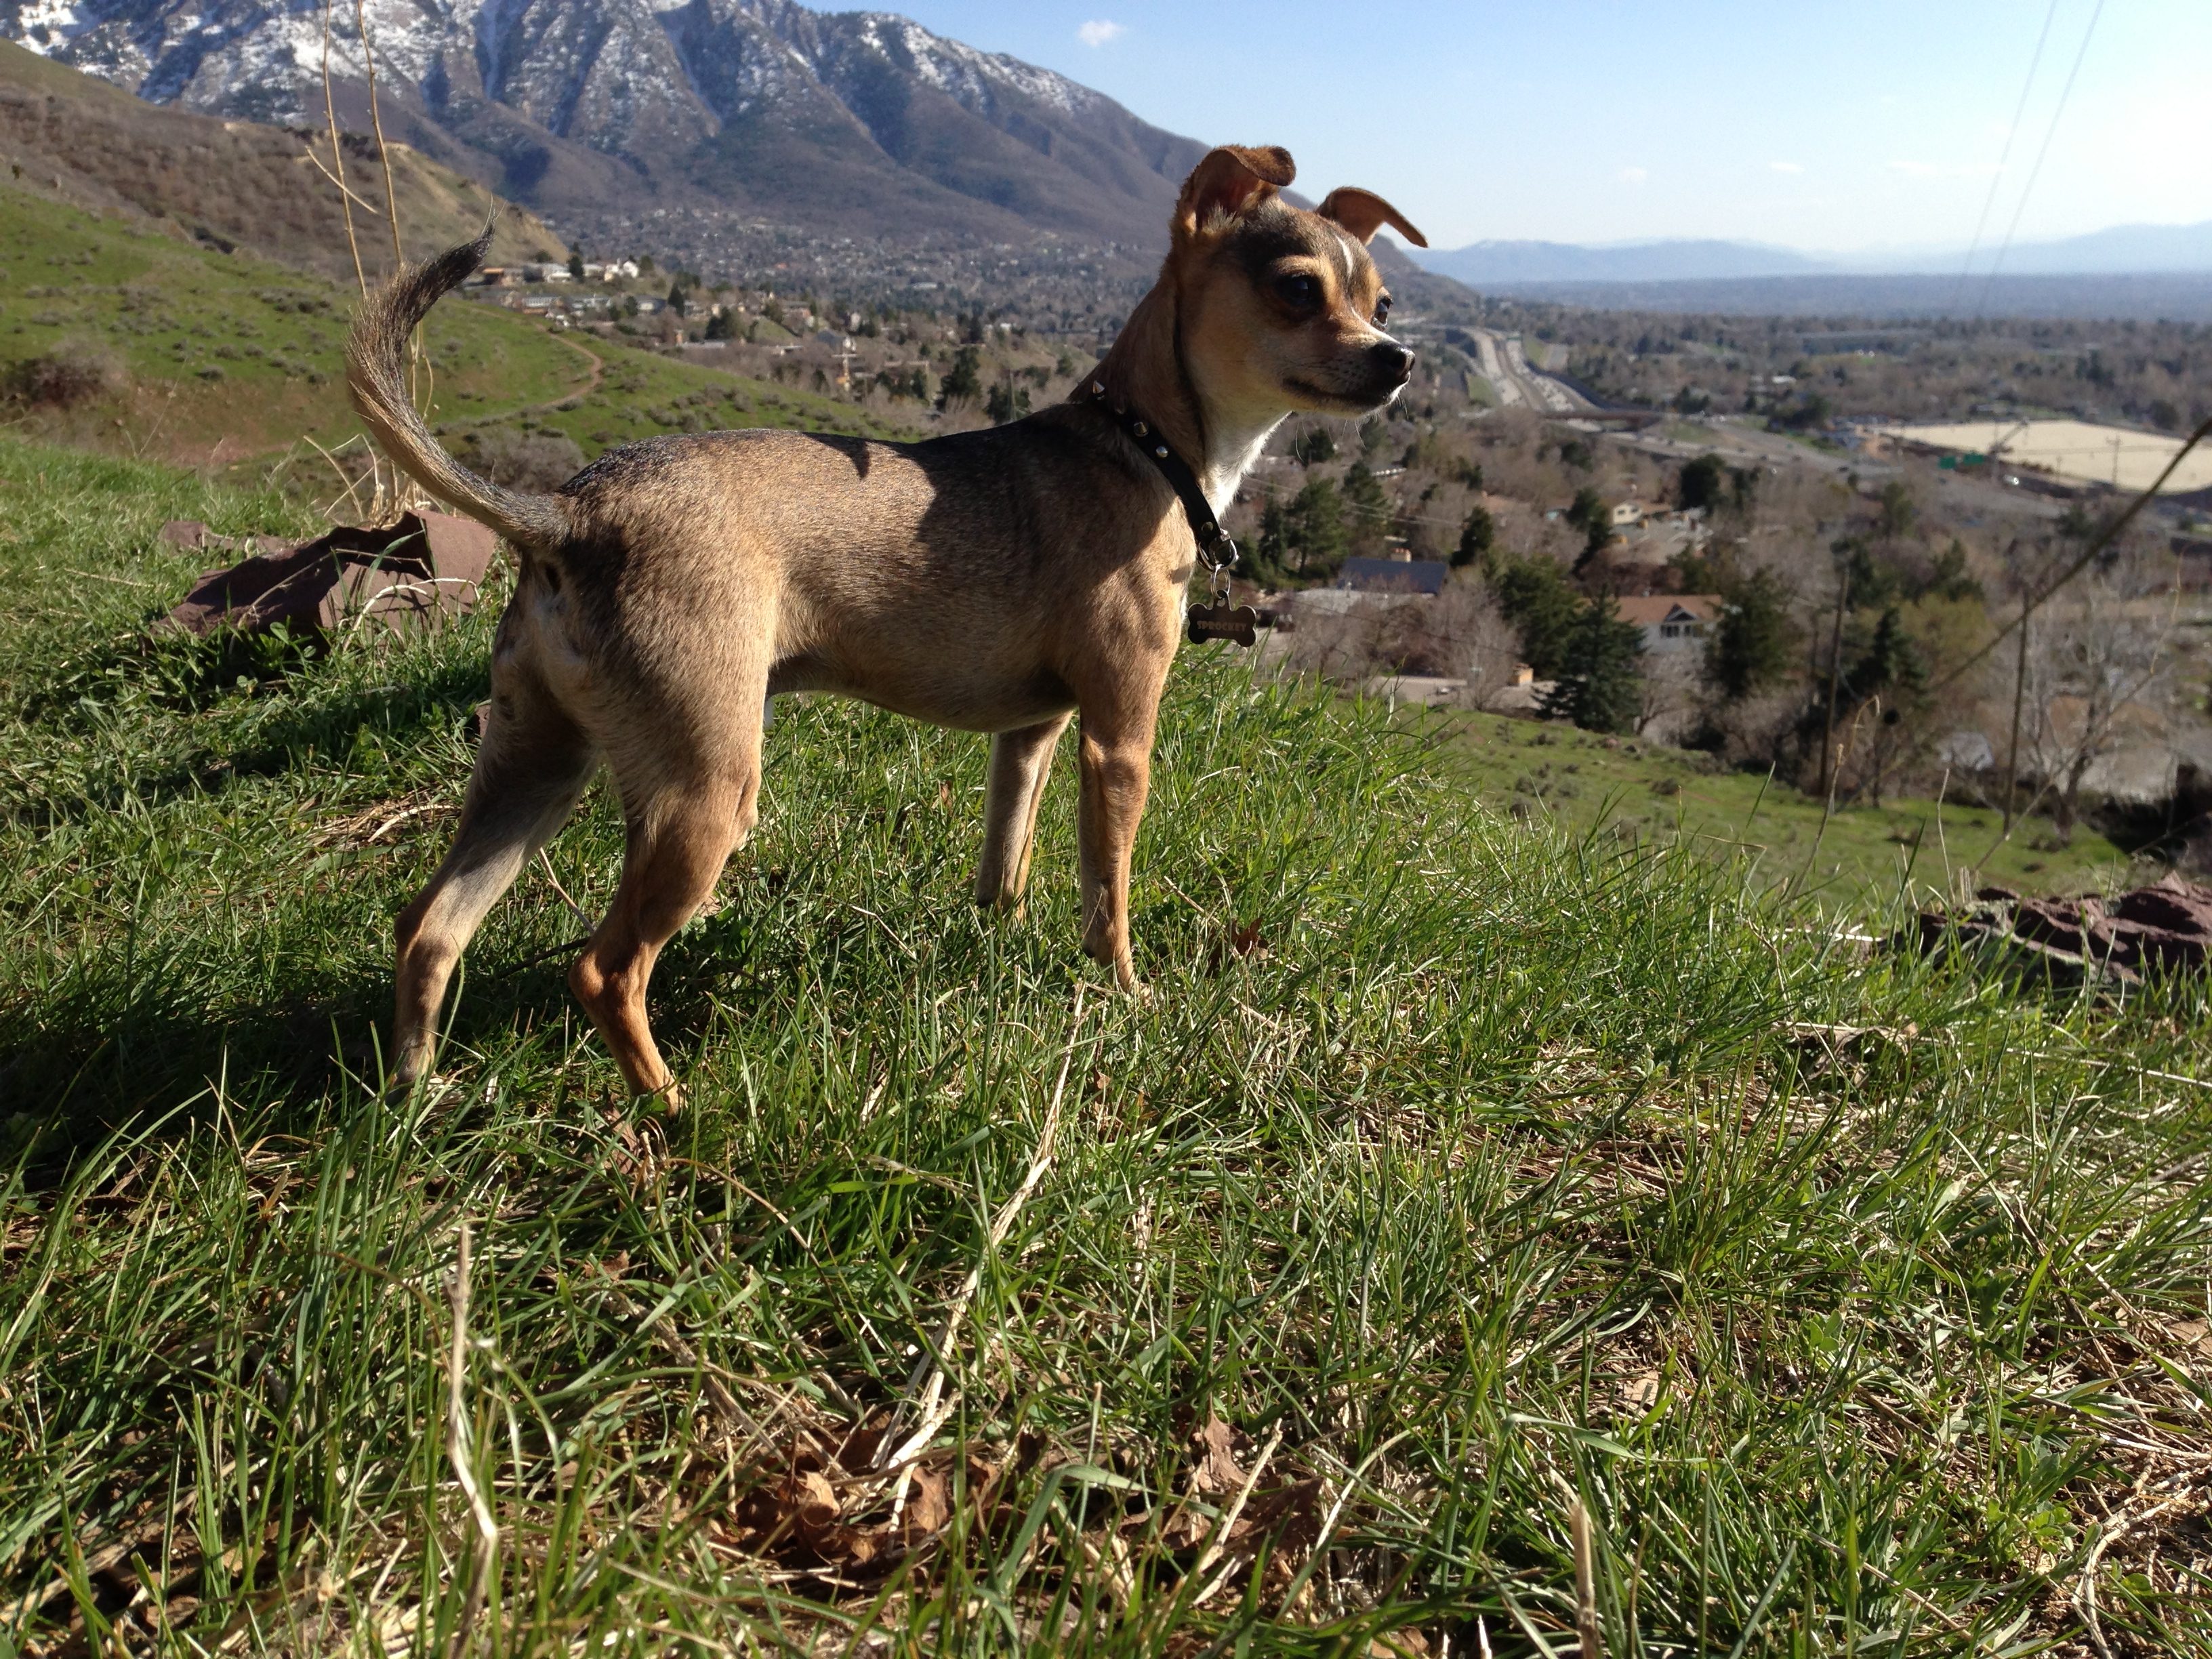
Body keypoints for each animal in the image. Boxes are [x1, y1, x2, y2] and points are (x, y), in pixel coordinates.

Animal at [345, 146, 1415, 1106]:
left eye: (1383, 304)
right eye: (1296, 291)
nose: (1398, 359)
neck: (1147, 448)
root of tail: (571, 512)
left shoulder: (1034, 734)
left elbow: (1005, 863)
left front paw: (998, 952)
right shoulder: (1119, 742)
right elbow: (1107, 892)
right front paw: (1123, 993)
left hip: (537, 763)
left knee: (430, 925)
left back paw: (412, 1098)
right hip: (706, 790)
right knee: (605, 973)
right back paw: (676, 1114)